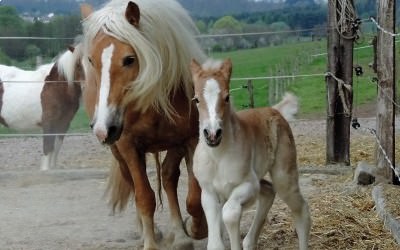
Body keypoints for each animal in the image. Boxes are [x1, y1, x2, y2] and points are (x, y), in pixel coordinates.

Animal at [80, 0, 208, 249]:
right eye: (91, 60)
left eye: (129, 59)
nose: (103, 127)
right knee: (136, 184)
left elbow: (194, 197)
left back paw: (180, 235)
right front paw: (149, 242)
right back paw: (149, 231)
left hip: (174, 145)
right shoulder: (128, 146)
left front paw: (197, 228)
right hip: (119, 152)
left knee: (168, 177)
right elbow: (145, 197)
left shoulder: (191, 140)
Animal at [191, 57, 312, 249]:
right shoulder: (208, 193)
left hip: (284, 177)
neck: (218, 156)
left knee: (301, 210)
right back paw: (249, 242)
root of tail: (274, 110)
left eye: (227, 97)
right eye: (196, 99)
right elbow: (215, 243)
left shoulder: (248, 185)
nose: (212, 134)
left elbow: (230, 213)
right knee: (269, 190)